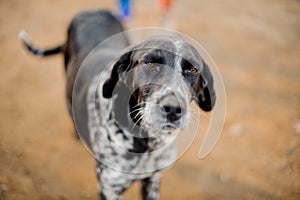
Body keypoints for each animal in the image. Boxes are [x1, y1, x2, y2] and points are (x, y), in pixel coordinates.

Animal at [19, 9, 214, 200]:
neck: (146, 145)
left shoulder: (152, 180)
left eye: (192, 69)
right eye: (149, 62)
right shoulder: (110, 188)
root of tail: (91, 10)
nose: (173, 109)